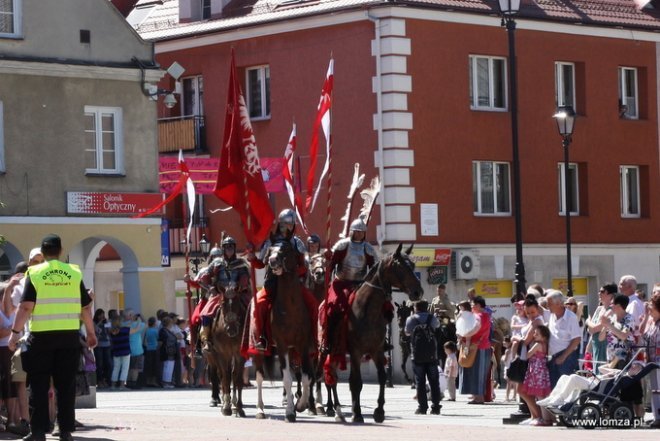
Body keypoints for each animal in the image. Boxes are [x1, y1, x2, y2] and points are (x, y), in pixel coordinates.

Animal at [205, 286, 249, 416]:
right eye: (223, 303)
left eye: (237, 303)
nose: (231, 330)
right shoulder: (223, 353)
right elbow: (226, 377)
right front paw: (226, 407)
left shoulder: (239, 354)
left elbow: (237, 378)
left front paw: (239, 408)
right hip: (212, 356)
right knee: (217, 375)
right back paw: (216, 400)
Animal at [251, 232, 316, 422]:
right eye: (270, 250)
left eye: (286, 248)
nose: (272, 261)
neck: (291, 307)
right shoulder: (282, 345)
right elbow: (287, 379)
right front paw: (289, 412)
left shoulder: (303, 345)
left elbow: (306, 377)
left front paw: (301, 405)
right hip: (259, 350)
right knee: (259, 377)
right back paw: (260, 409)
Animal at [324, 242, 422, 422]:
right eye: (400, 266)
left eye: (412, 265)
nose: (418, 292)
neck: (368, 310)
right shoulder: (356, 352)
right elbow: (356, 382)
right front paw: (357, 413)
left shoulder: (377, 350)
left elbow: (382, 378)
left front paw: (379, 411)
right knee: (325, 378)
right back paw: (328, 407)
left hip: (337, 352)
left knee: (331, 376)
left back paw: (337, 410)